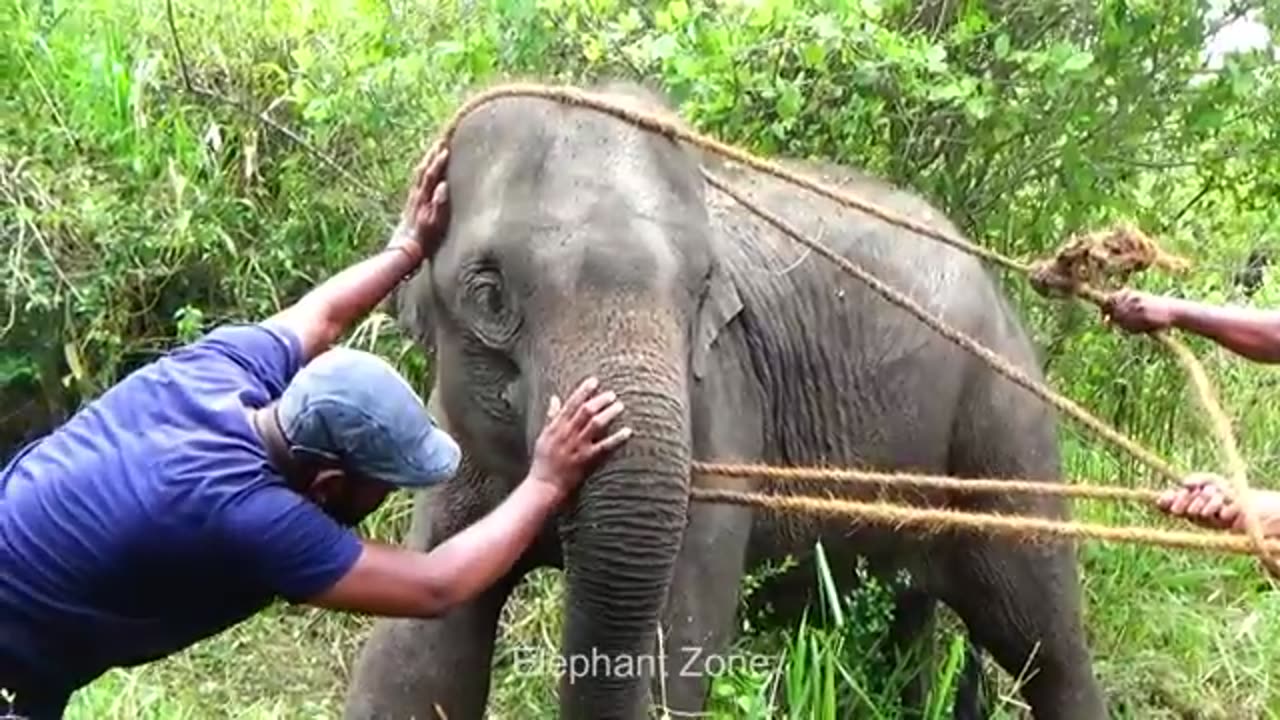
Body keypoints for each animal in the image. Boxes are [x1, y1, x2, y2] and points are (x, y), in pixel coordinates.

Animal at [343, 79, 1111, 717]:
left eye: (701, 287)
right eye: (489, 294)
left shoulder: (719, 414)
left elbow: (679, 646)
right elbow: (422, 650)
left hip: (1002, 417)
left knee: (1039, 634)